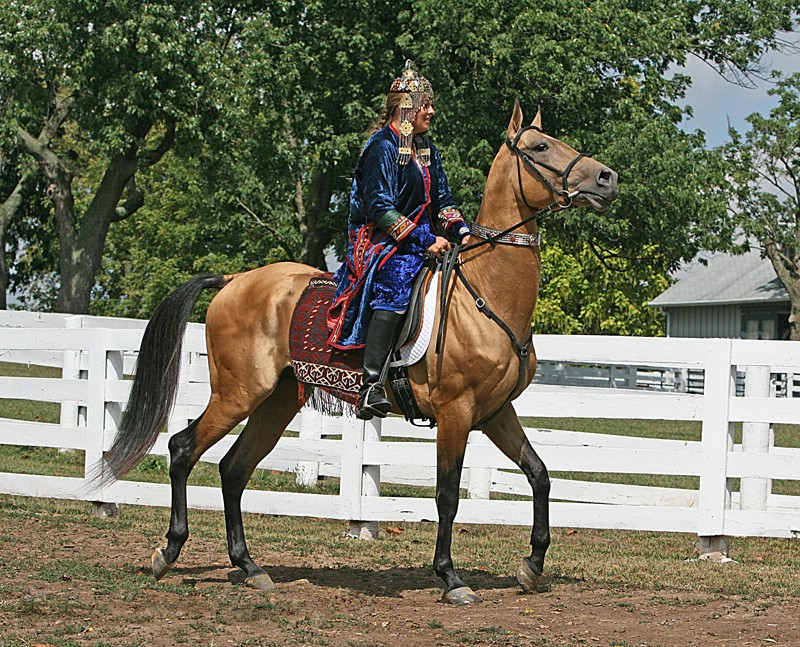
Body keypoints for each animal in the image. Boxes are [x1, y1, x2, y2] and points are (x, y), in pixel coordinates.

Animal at [97, 100, 618, 605]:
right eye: (540, 146)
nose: (607, 178)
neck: (484, 293)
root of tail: (235, 280)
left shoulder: (494, 412)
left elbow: (539, 474)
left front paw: (532, 566)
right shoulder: (456, 413)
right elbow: (447, 496)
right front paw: (451, 578)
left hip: (276, 401)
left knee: (234, 468)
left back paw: (249, 567)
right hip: (238, 394)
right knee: (183, 448)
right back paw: (168, 552)